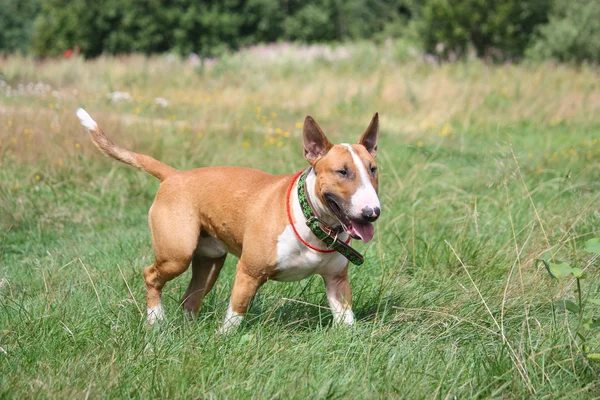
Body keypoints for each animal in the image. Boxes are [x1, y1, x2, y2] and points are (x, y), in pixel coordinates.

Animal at [75, 108, 380, 332]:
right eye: (342, 171)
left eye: (373, 169)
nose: (372, 212)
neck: (311, 221)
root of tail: (174, 175)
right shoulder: (248, 271)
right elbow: (236, 312)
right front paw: (223, 339)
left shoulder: (336, 281)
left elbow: (346, 319)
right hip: (177, 253)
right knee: (151, 275)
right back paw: (156, 321)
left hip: (209, 260)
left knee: (190, 297)